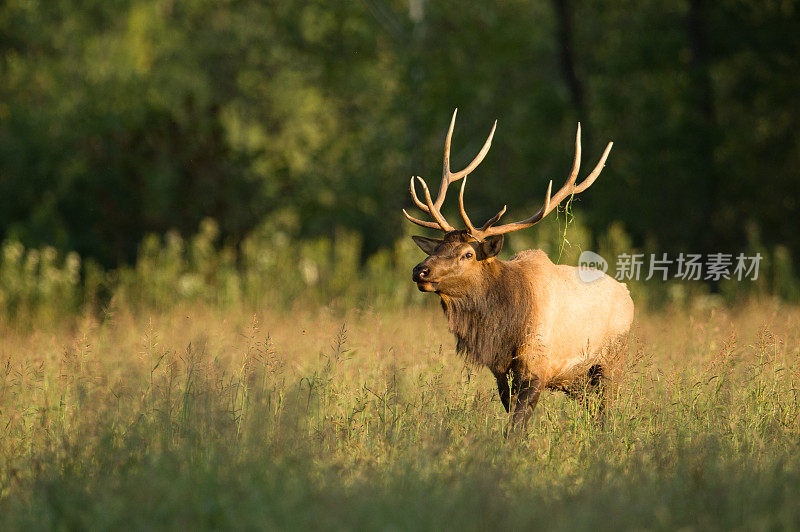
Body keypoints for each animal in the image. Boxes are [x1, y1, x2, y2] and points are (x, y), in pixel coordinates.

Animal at [404, 110, 636, 430]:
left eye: (467, 254)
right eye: (436, 248)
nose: (420, 271)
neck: (502, 329)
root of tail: (628, 294)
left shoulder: (537, 366)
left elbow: (517, 428)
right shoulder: (502, 373)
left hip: (611, 361)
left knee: (606, 412)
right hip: (579, 381)